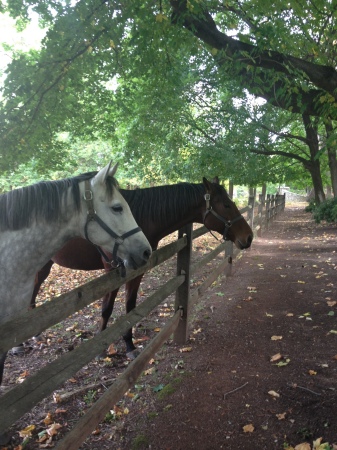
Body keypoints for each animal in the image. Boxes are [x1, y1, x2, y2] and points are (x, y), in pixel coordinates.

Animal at [30, 178, 252, 356]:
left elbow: (130, 307)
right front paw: (101, 349)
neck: (140, 217)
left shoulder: (137, 271)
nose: (248, 237)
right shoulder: (112, 271)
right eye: (226, 205)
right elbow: (106, 308)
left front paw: (129, 345)